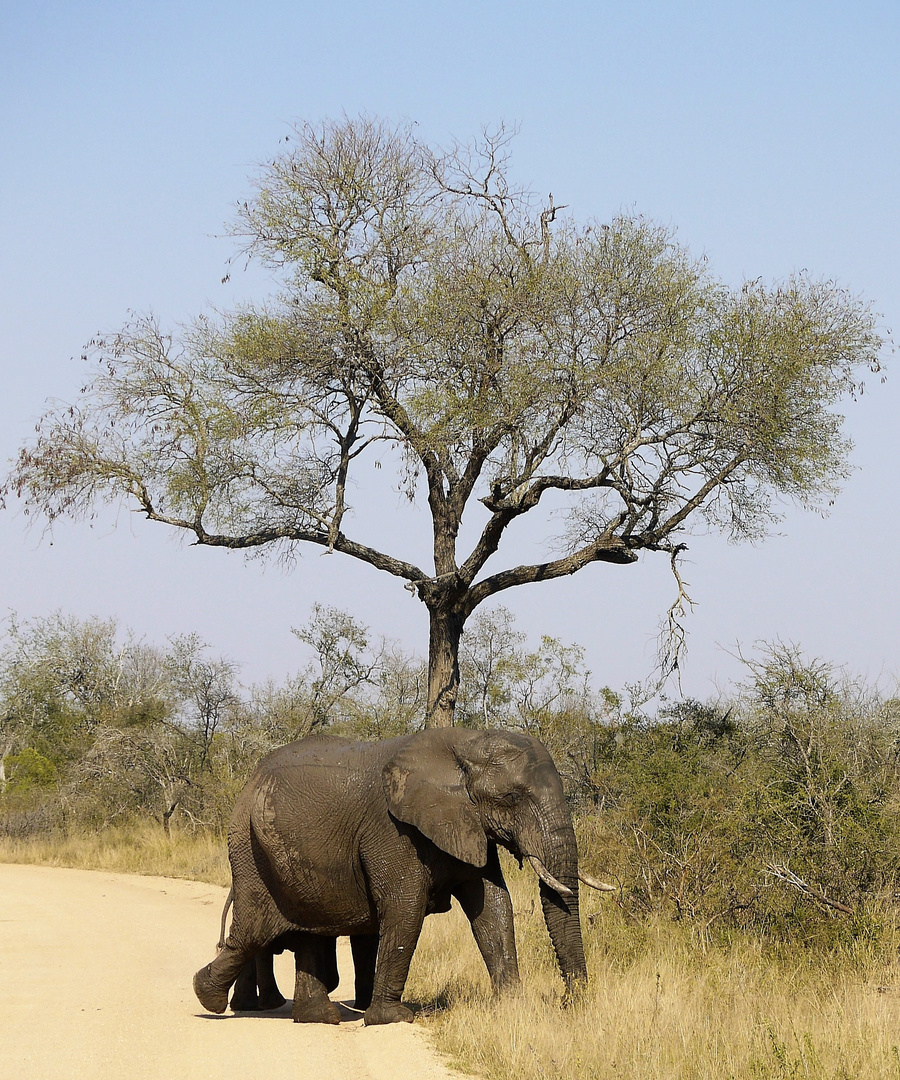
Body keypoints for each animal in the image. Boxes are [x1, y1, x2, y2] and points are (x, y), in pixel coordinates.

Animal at [193, 730, 613, 1023]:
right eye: (511, 798)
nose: (569, 1003)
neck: (465, 743)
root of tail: (249, 780)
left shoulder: (466, 823)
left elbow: (492, 906)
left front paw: (512, 1006)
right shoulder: (391, 829)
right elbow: (405, 907)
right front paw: (392, 1019)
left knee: (307, 929)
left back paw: (319, 1017)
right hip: (247, 845)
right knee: (254, 929)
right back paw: (210, 997)